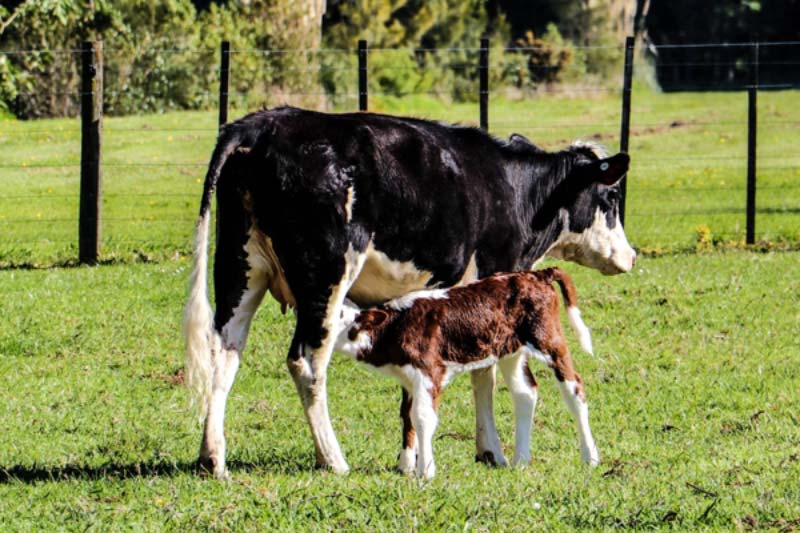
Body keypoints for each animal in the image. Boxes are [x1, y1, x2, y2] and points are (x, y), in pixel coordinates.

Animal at [336, 266, 600, 478]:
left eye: (339, 317)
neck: (394, 327)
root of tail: (535, 274)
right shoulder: (409, 378)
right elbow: (406, 415)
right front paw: (406, 466)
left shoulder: (429, 372)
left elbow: (422, 417)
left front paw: (426, 472)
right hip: (510, 351)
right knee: (525, 392)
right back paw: (521, 461)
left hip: (548, 339)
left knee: (575, 389)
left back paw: (590, 457)